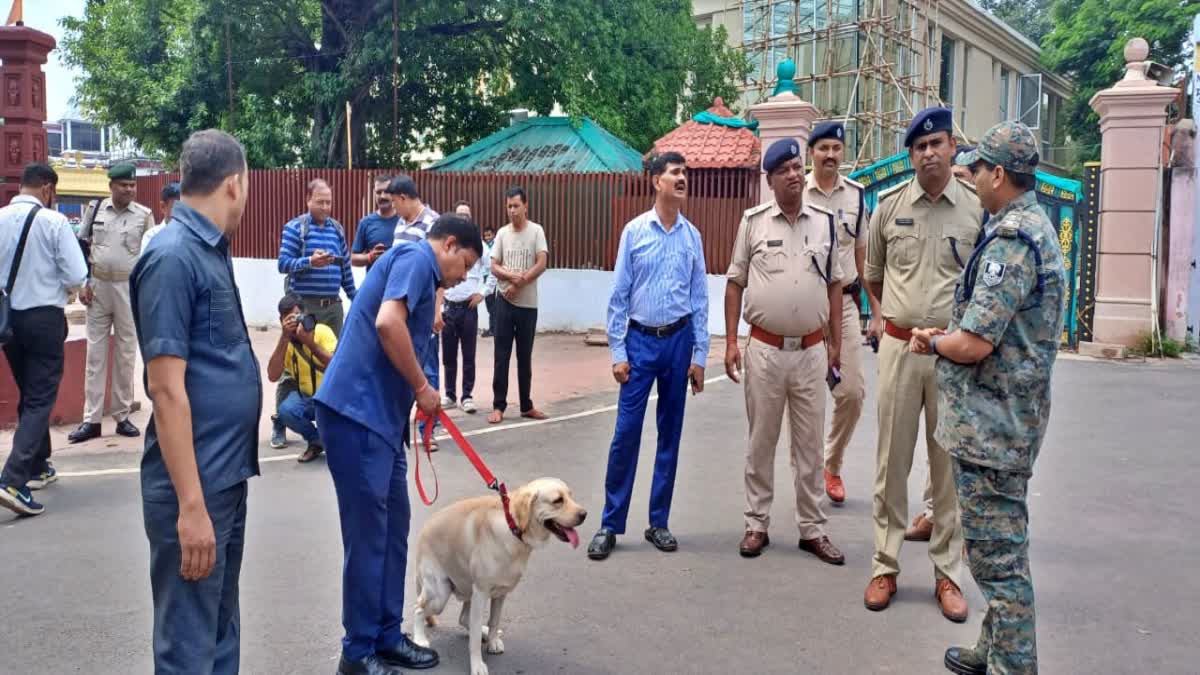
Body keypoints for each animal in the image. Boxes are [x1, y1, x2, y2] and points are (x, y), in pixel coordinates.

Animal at [410, 475, 588, 667]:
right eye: (558, 501)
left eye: (570, 496)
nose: (584, 514)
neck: (513, 527)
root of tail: (423, 531)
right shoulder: (481, 593)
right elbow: (473, 639)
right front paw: (477, 665)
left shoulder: (501, 592)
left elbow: (494, 621)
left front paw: (492, 640)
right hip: (440, 594)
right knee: (418, 609)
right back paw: (420, 639)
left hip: (465, 589)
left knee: (463, 618)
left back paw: (484, 632)